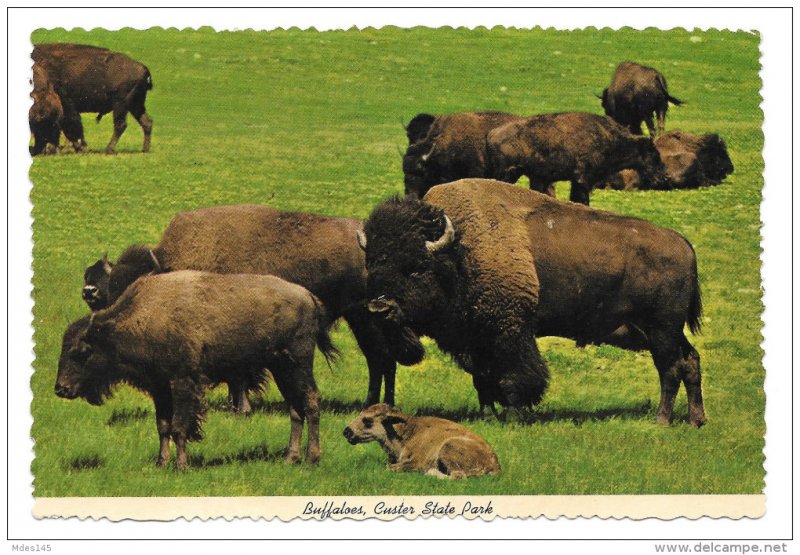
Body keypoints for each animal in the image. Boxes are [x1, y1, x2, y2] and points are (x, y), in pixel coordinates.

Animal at [54, 272, 334, 472]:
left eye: (82, 351)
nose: (61, 388)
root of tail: (308, 297)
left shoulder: (183, 382)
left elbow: (179, 426)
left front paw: (181, 465)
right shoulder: (160, 387)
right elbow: (163, 425)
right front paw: (161, 463)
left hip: (298, 363)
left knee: (311, 402)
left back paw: (312, 458)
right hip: (281, 369)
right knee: (295, 409)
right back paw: (290, 458)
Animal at [342, 404, 500, 482]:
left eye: (367, 420)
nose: (346, 431)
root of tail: (495, 466)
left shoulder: (417, 462)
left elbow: (390, 467)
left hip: (449, 447)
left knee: (459, 476)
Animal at [362, 180, 708, 428]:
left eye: (417, 267)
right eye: (373, 265)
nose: (381, 308)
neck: (461, 253)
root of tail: (683, 244)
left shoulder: (511, 333)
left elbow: (514, 378)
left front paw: (514, 417)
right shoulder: (476, 341)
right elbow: (482, 380)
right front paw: (488, 416)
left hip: (662, 329)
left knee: (670, 369)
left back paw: (662, 420)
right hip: (659, 331)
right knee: (690, 361)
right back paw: (696, 420)